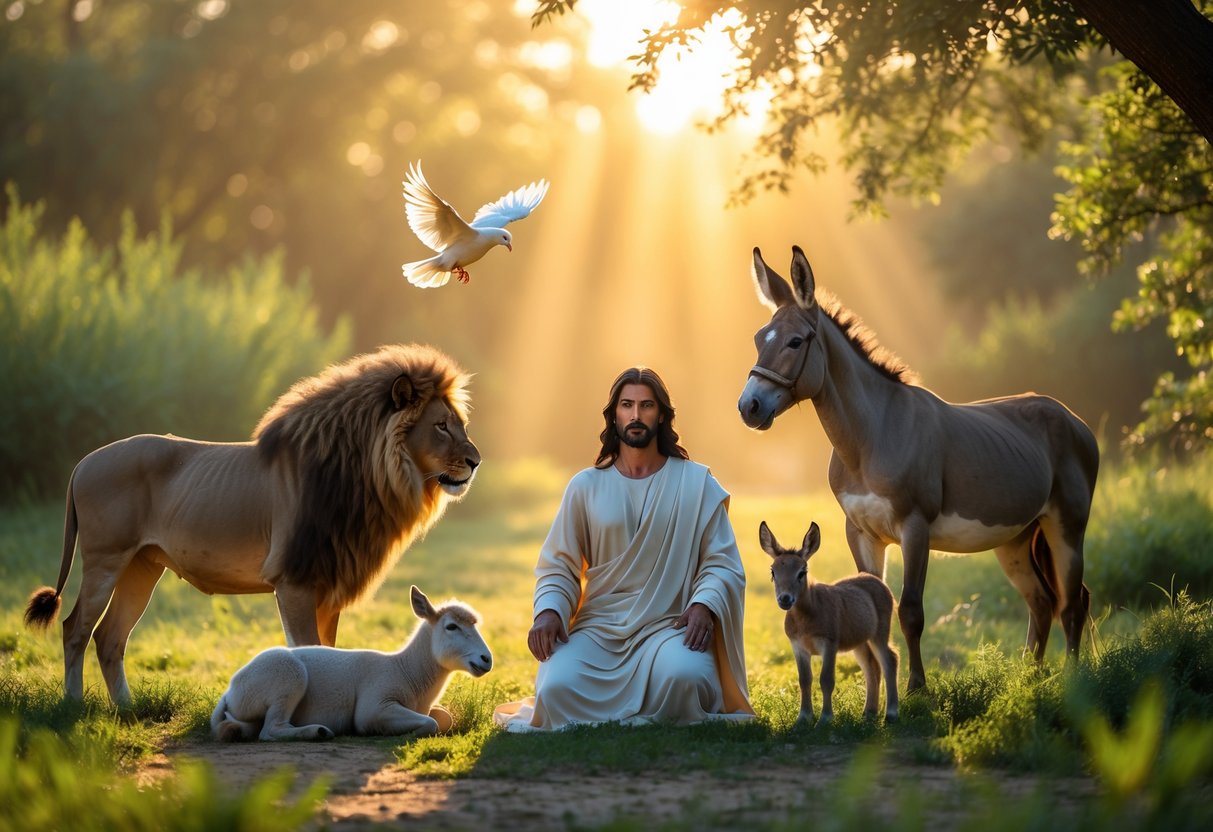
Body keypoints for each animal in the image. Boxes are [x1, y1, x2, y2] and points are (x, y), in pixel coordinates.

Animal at [24, 343, 480, 705]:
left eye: (460, 425)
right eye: (441, 426)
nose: (476, 461)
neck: (368, 479)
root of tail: (84, 461)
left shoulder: (329, 587)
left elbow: (328, 650)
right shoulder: (294, 582)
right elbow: (308, 648)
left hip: (142, 567)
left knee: (109, 637)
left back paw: (127, 709)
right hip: (105, 560)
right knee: (75, 628)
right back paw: (74, 706)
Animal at [211, 586, 492, 741]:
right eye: (451, 626)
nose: (486, 660)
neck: (406, 670)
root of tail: (230, 691)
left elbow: (444, 718)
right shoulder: (374, 707)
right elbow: (431, 723)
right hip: (286, 680)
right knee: (271, 730)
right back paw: (317, 732)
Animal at [759, 520, 898, 726]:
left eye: (802, 572)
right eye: (773, 571)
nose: (785, 599)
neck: (806, 621)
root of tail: (882, 584)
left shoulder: (830, 642)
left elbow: (826, 680)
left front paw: (824, 719)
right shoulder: (797, 645)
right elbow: (804, 679)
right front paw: (802, 718)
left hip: (880, 631)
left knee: (890, 659)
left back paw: (891, 713)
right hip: (860, 641)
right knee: (871, 666)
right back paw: (869, 712)